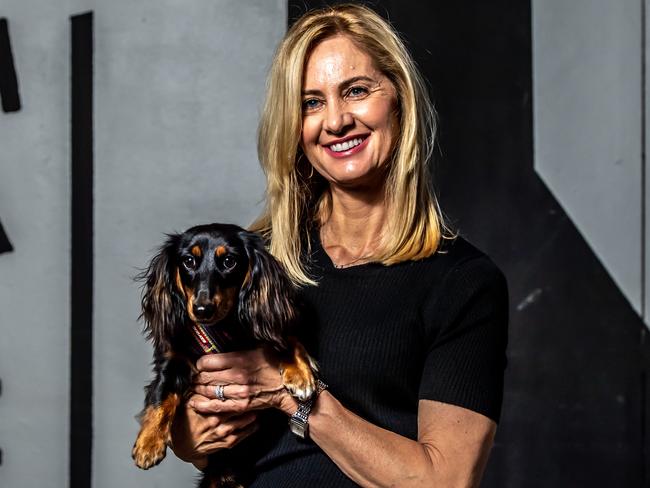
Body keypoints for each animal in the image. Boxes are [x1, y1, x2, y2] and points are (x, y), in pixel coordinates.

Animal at [130, 223, 316, 486]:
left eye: (229, 261)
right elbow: (162, 396)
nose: (202, 309)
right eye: (188, 261)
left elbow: (287, 338)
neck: (219, 329)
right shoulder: (173, 360)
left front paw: (300, 376)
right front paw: (148, 444)